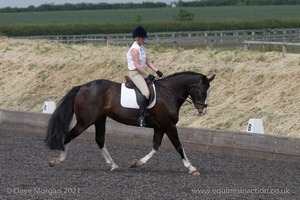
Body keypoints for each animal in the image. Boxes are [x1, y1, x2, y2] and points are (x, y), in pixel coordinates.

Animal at [44, 71, 214, 176]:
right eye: (201, 91)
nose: (202, 111)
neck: (168, 93)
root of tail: (81, 87)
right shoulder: (169, 126)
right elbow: (179, 147)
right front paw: (192, 168)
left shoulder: (160, 127)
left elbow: (155, 147)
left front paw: (136, 163)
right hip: (85, 121)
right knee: (68, 136)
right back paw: (57, 160)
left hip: (100, 119)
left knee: (100, 140)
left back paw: (112, 165)